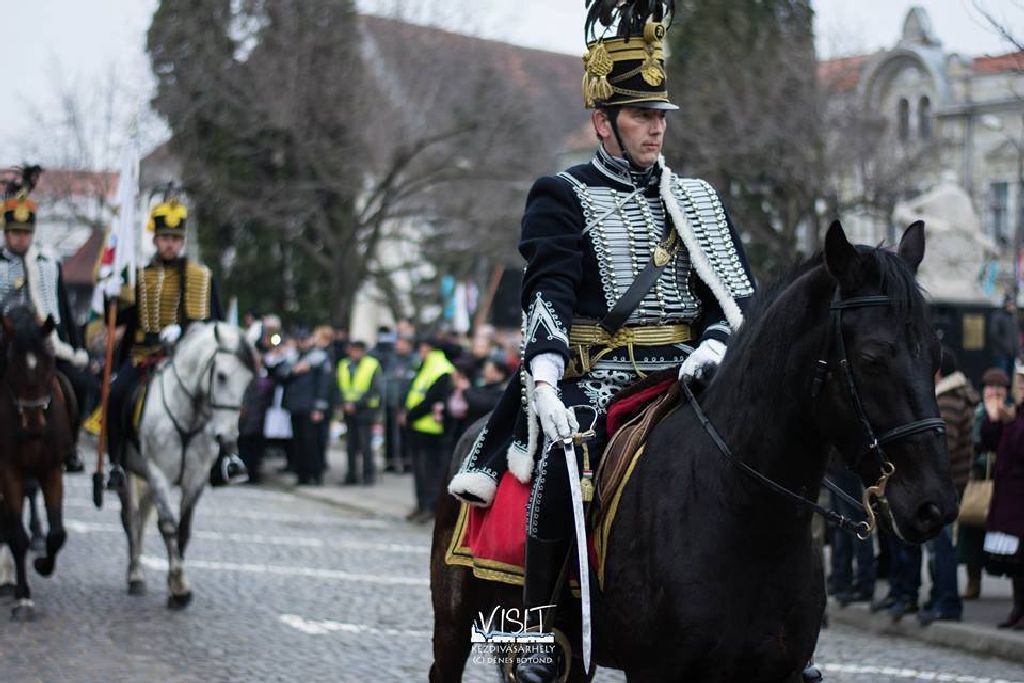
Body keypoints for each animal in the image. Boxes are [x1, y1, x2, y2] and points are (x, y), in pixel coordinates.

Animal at [120, 321, 256, 610]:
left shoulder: (196, 478)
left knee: (141, 518)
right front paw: (179, 587)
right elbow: (169, 526)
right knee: (131, 517)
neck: (189, 416)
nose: (228, 437)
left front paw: (177, 587)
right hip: (128, 473)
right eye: (222, 376)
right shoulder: (158, 474)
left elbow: (183, 530)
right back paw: (135, 574)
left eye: (248, 380)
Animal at [430, 222, 958, 679]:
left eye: (938, 355)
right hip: (456, 626)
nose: (933, 505)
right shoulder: (657, 671)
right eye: (871, 358)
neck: (745, 516)